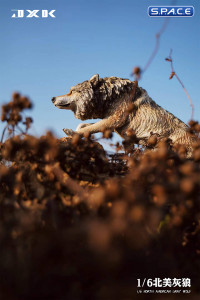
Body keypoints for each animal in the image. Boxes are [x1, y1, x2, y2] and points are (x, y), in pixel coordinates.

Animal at [50, 74, 195, 154]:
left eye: (71, 91)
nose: (52, 98)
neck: (109, 96)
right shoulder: (112, 125)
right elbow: (84, 126)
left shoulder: (113, 120)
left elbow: (87, 128)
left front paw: (71, 133)